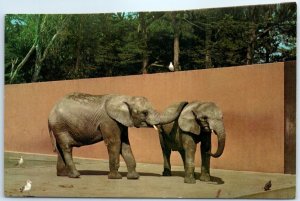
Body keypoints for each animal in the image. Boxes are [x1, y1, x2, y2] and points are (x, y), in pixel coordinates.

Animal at [47, 92, 186, 179]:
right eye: (144, 113)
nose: (186, 102)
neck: (126, 98)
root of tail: (50, 114)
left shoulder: (122, 122)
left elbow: (125, 144)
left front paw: (134, 177)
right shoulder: (109, 121)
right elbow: (115, 142)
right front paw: (116, 177)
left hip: (59, 127)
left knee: (60, 148)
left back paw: (64, 175)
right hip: (60, 126)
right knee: (66, 148)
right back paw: (76, 175)